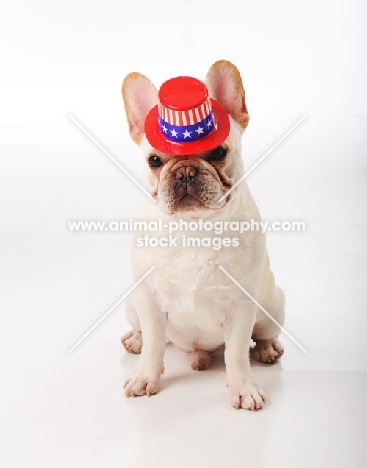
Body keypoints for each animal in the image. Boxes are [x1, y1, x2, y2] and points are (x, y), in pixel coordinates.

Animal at [122, 59, 286, 410]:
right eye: (154, 160)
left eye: (217, 153)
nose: (185, 170)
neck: (194, 226)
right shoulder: (148, 299)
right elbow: (154, 344)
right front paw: (145, 375)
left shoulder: (242, 305)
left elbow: (237, 353)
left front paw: (244, 387)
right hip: (132, 303)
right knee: (145, 332)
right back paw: (135, 339)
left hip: (272, 304)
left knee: (263, 332)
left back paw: (267, 348)